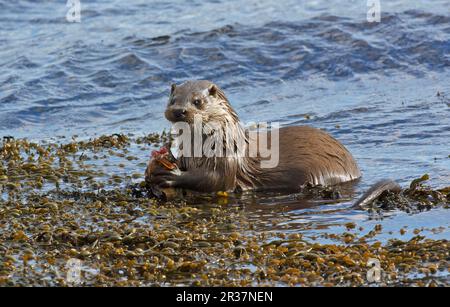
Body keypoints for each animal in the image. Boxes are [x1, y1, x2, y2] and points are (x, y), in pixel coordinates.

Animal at [146, 80, 364, 194]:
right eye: (172, 100)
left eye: (197, 101)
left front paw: (172, 175)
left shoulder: (225, 160)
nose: (178, 111)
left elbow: (212, 180)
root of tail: (354, 168)